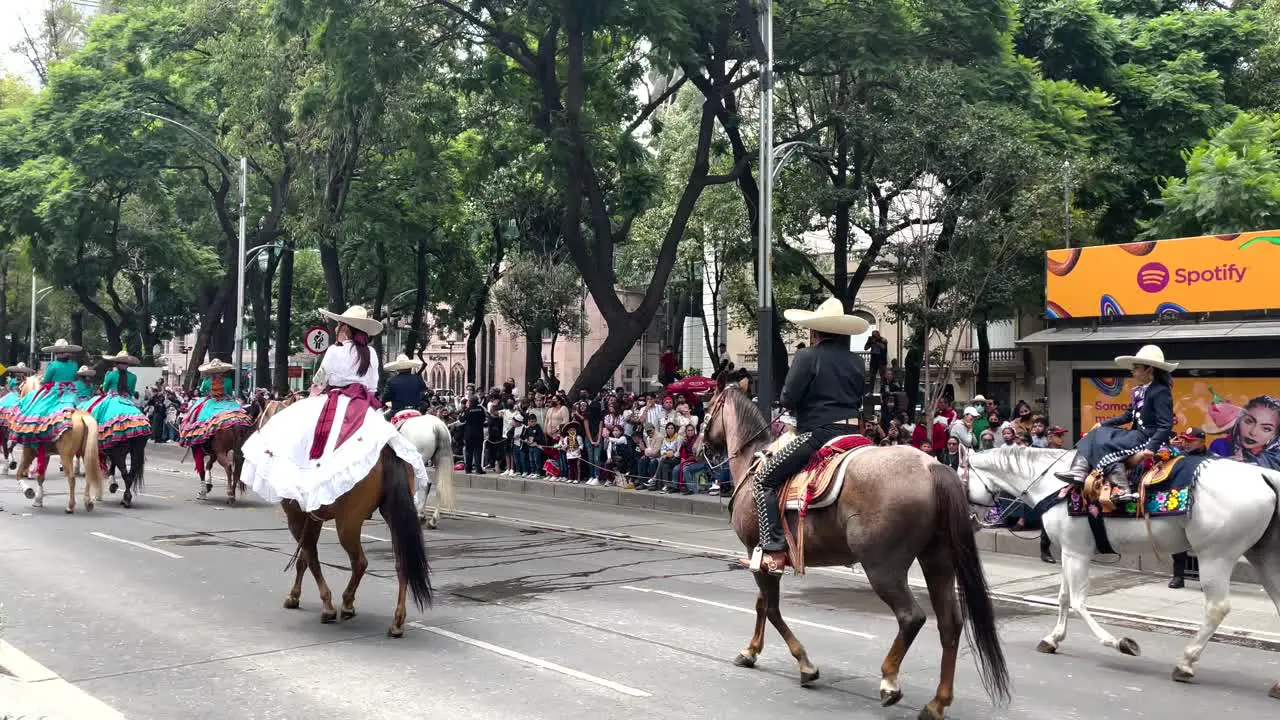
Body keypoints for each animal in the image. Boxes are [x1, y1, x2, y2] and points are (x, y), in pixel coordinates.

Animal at [15, 371, 103, 512]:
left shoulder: (29, 451)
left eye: (19, 388)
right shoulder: (45, 454)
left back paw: (70, 506)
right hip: (86, 453)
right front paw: (38, 500)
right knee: (88, 475)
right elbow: (40, 477)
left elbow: (19, 474)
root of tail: (83, 416)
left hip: (66, 455)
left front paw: (29, 491)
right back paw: (88, 502)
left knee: (71, 478)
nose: (18, 399)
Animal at [701, 386, 1008, 717]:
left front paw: (805, 666)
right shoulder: (763, 558)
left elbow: (770, 608)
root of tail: (933, 466)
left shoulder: (757, 552)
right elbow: (762, 605)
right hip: (937, 560)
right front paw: (750, 651)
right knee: (949, 623)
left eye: (708, 407)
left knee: (911, 617)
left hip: (883, 568)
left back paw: (889, 681)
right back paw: (937, 702)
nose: (701, 446)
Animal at [962, 443, 1280, 696]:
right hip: (1262, 555)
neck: (1054, 485)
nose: (972, 520)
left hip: (1215, 556)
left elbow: (1078, 602)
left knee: (1216, 608)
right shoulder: (1067, 550)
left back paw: (1185, 663)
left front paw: (1121, 643)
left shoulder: (1076, 552)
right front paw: (1052, 639)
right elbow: (1063, 598)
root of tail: (1262, 474)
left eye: (961, 478)